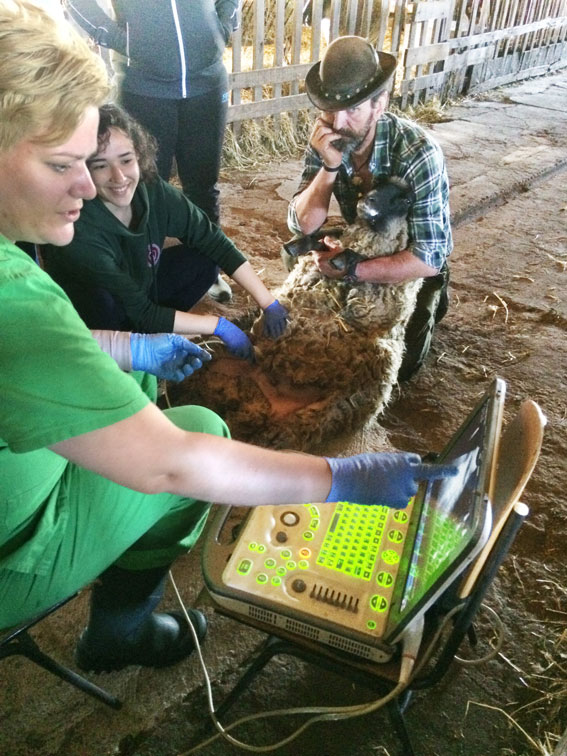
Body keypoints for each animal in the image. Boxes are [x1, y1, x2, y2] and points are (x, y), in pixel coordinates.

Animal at [169, 174, 426, 452]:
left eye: (406, 200)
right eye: (378, 182)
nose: (370, 201)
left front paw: (342, 259)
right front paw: (302, 246)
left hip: (332, 407)